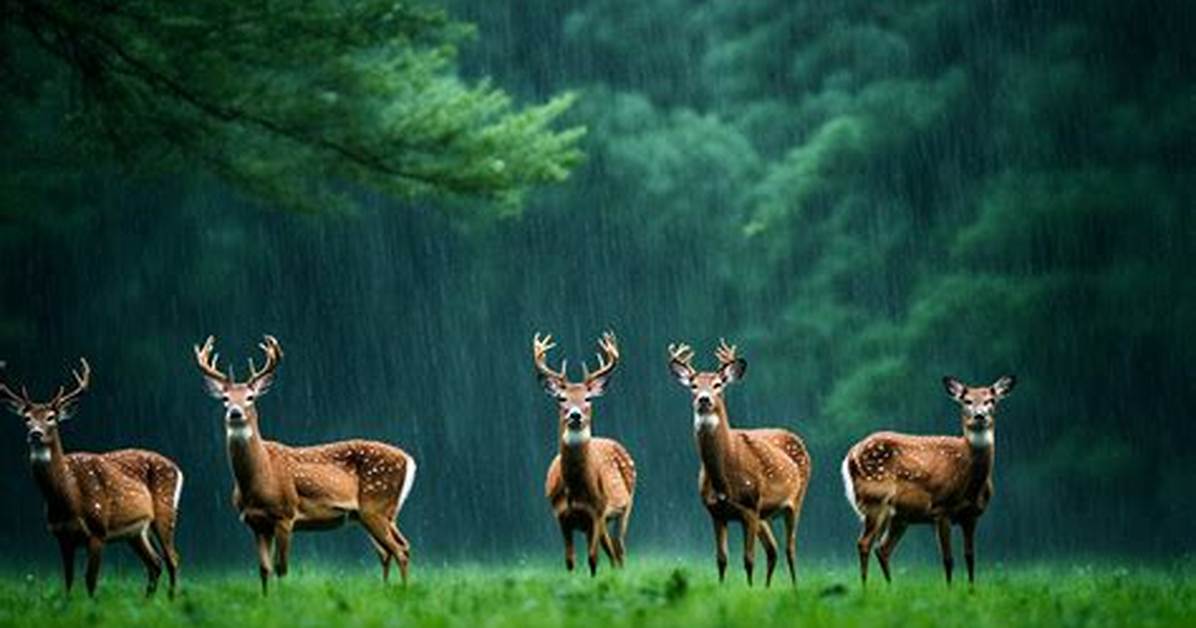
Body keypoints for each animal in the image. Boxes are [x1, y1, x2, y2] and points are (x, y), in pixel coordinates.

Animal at [0, 358, 182, 597]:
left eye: (51, 418)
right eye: (27, 418)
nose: (35, 433)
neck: (69, 499)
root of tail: (177, 468)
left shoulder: (98, 530)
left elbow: (90, 580)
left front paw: (92, 605)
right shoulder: (62, 537)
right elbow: (68, 581)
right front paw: (68, 604)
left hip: (166, 508)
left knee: (172, 559)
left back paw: (171, 600)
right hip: (135, 532)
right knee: (155, 563)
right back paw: (147, 602)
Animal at [193, 335, 416, 594]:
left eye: (250, 397)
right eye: (225, 399)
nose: (235, 413)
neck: (258, 480)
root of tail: (408, 459)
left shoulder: (285, 514)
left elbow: (281, 568)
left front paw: (283, 599)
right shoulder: (255, 523)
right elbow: (264, 570)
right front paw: (266, 600)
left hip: (375, 506)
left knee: (398, 550)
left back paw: (404, 592)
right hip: (378, 513)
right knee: (394, 548)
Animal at [534, 331, 636, 576]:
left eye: (588, 398)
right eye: (561, 398)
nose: (575, 415)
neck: (574, 489)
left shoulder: (596, 513)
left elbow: (592, 558)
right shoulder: (561, 516)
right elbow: (570, 560)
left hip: (626, 506)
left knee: (619, 548)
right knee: (613, 552)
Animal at [667, 340, 811, 587]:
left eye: (718, 384)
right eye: (693, 385)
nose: (703, 399)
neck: (723, 480)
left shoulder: (750, 507)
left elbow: (749, 559)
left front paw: (750, 589)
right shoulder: (716, 512)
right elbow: (721, 559)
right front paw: (723, 588)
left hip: (795, 499)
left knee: (789, 549)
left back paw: (795, 588)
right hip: (765, 515)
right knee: (773, 550)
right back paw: (767, 588)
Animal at [842, 374, 1016, 587]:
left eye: (991, 400)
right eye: (967, 401)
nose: (979, 416)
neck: (970, 483)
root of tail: (850, 455)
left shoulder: (971, 514)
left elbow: (970, 557)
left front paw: (971, 589)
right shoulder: (941, 509)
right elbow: (948, 559)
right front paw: (949, 590)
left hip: (899, 516)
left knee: (882, 548)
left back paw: (890, 588)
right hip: (875, 499)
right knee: (864, 543)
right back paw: (865, 588)